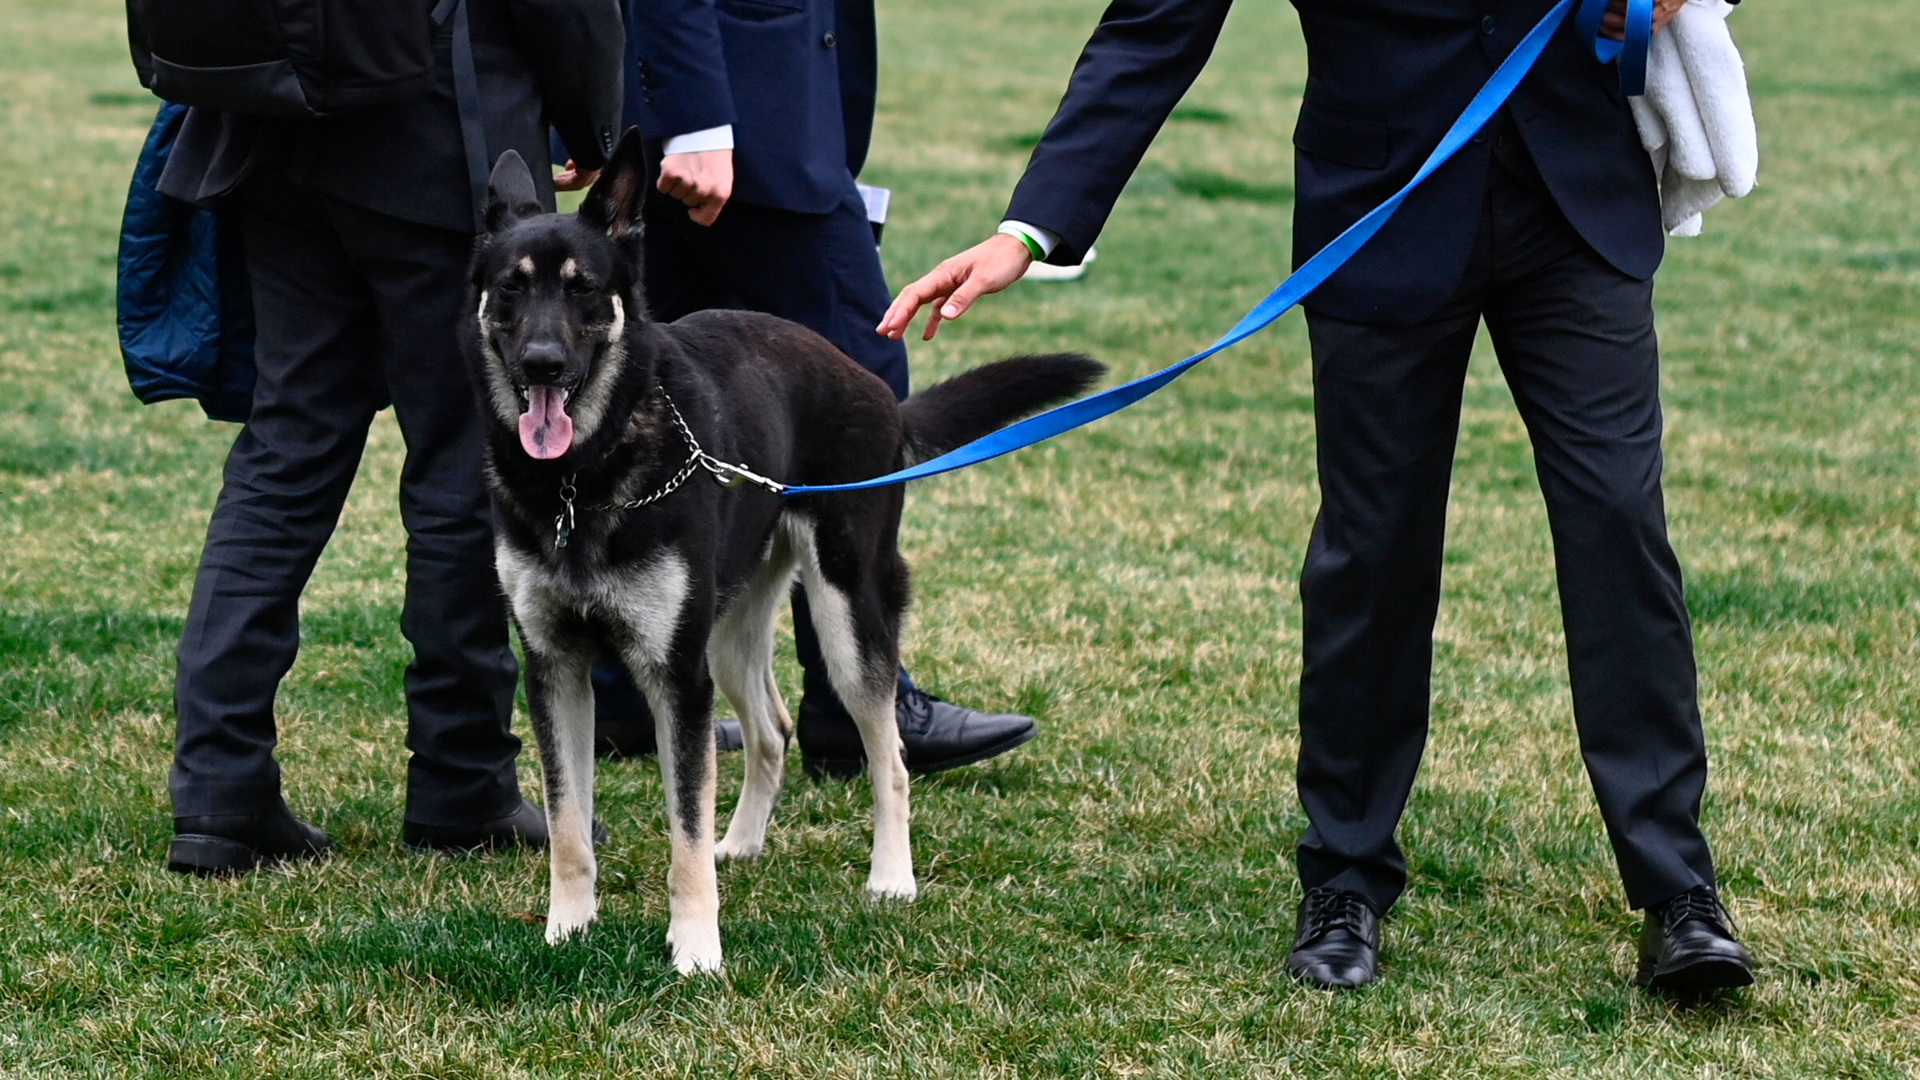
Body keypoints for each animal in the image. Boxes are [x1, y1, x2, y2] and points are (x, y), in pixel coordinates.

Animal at [458, 132, 1105, 968]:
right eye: (511, 288)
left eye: (582, 290)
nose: (541, 363)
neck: (584, 478)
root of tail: (880, 394)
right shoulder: (557, 668)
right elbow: (572, 825)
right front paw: (567, 929)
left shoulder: (677, 678)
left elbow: (683, 828)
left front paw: (696, 950)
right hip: (729, 633)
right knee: (773, 732)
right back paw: (743, 843)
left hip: (845, 618)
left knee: (889, 757)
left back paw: (891, 878)